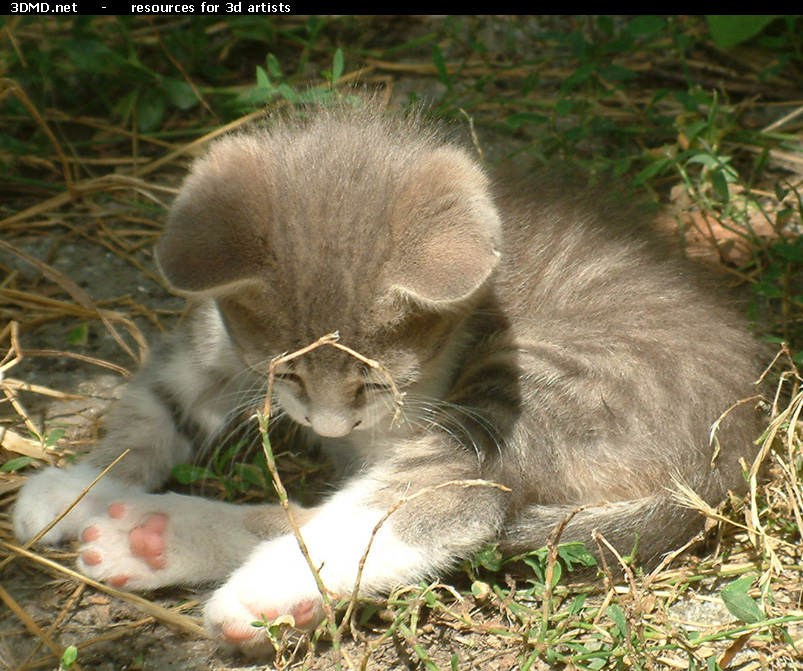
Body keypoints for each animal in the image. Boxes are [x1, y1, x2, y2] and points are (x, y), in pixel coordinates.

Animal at [14, 103, 768, 652]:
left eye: (373, 383)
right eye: (288, 377)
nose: (328, 425)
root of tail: (742, 440)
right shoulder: (209, 345)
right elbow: (153, 410)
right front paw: (75, 485)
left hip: (544, 380)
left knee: (434, 503)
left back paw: (210, 563)